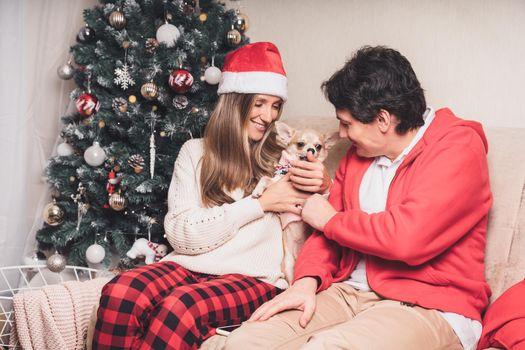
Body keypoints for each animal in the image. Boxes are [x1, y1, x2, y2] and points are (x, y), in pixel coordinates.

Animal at [252, 121, 338, 284]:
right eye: (300, 144)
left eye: (318, 146)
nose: (311, 150)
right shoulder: (276, 182)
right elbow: (265, 178)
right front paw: (257, 191)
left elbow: (321, 194)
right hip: (288, 265)